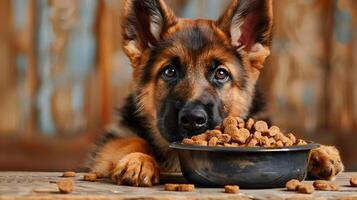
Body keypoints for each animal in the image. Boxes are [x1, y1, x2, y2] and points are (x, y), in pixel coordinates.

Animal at [90, 0, 344, 188]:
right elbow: (133, 141)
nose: (193, 119)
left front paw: (319, 151)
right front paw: (138, 160)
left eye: (221, 74)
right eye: (169, 71)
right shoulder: (111, 144)